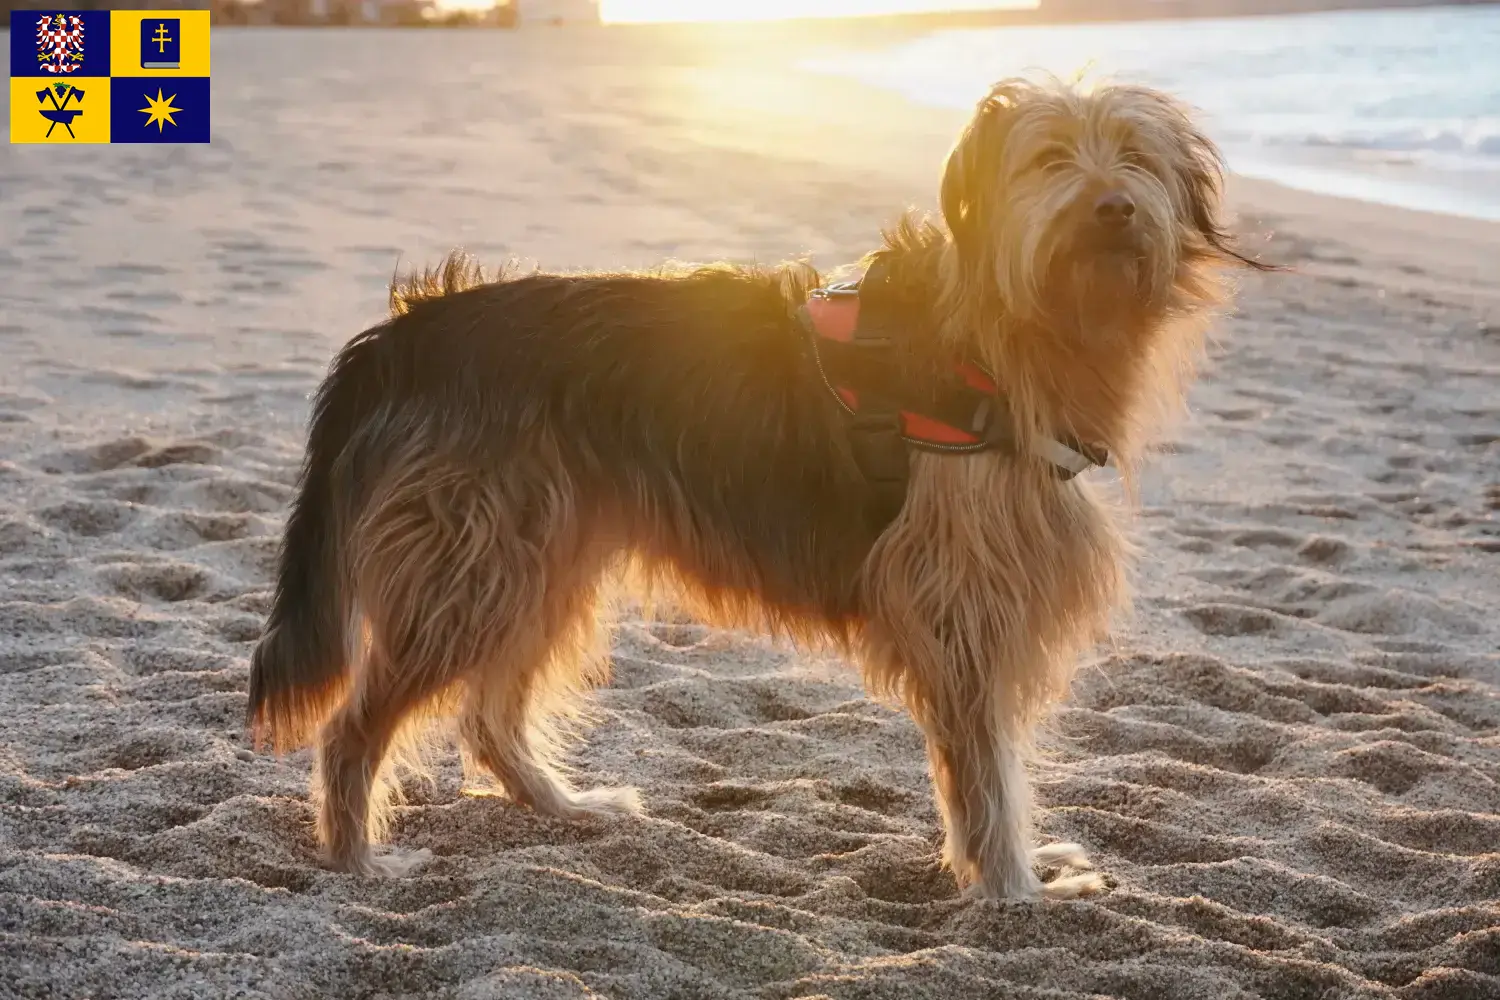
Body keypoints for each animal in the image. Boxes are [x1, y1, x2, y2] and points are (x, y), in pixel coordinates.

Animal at [252, 76, 1272, 899]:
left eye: (1134, 156)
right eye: (1051, 157)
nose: (1112, 208)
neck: (1004, 333)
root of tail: (407, 334)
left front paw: (1015, 870)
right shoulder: (963, 598)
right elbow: (988, 767)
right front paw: (1014, 884)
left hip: (541, 554)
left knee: (489, 716)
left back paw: (563, 804)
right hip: (475, 560)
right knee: (354, 726)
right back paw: (358, 856)